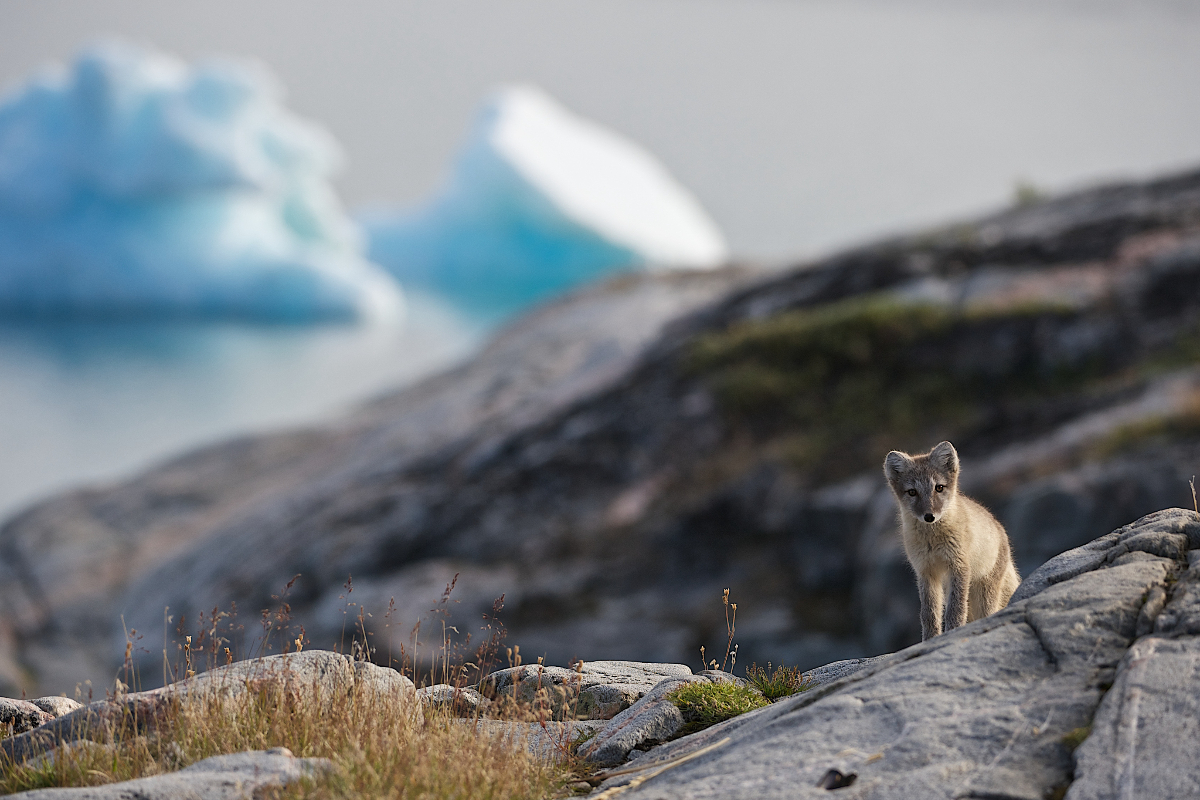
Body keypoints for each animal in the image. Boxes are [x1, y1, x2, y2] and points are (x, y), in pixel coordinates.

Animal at [883, 441, 1019, 641]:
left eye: (939, 488)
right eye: (912, 492)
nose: (929, 516)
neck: (932, 541)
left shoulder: (959, 566)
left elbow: (956, 609)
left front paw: (953, 631)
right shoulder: (925, 572)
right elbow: (929, 614)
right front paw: (930, 639)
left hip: (985, 591)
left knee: (987, 612)